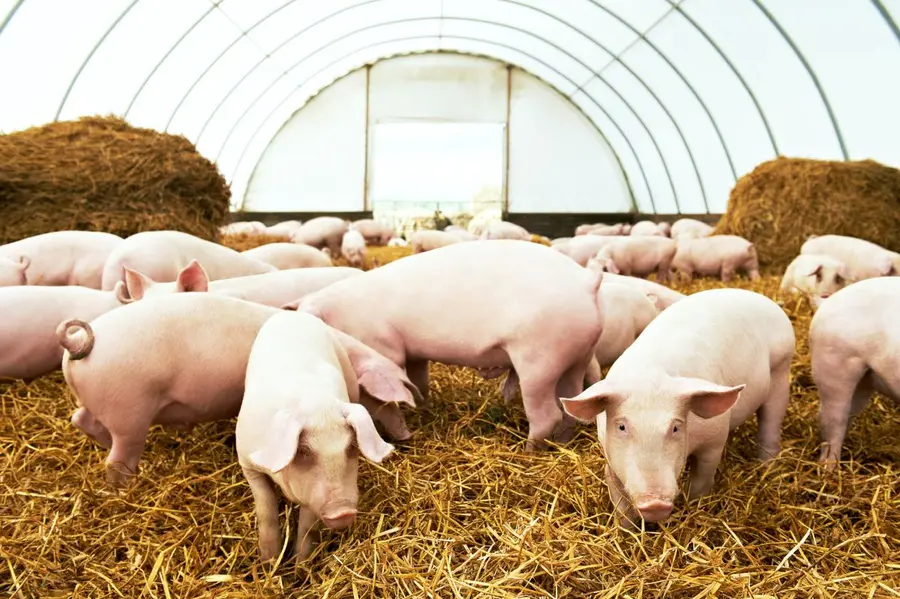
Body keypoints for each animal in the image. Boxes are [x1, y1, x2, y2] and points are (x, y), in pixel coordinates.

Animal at [56, 293, 420, 486]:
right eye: (388, 401)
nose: (406, 435)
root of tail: (81, 345)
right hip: (129, 411)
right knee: (116, 459)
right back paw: (128, 484)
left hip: (106, 407)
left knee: (81, 419)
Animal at [236, 311, 395, 562]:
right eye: (303, 450)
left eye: (351, 447)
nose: (342, 511)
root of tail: (294, 314)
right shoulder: (247, 462)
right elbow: (266, 508)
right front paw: (269, 562)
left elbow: (307, 526)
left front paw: (300, 564)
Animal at [283, 240, 605, 450]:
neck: (341, 312)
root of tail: (586, 282)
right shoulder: (413, 353)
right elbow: (419, 380)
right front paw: (424, 407)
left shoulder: (384, 345)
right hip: (577, 357)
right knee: (569, 405)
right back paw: (561, 444)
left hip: (539, 359)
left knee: (547, 414)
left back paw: (528, 451)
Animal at [561, 288, 795, 528]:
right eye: (621, 427)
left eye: (675, 427)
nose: (654, 503)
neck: (649, 376)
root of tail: (762, 299)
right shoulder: (608, 453)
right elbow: (620, 503)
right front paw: (626, 531)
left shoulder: (714, 439)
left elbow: (702, 479)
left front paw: (693, 507)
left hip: (781, 369)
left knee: (770, 421)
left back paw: (767, 465)